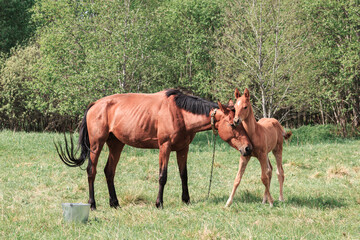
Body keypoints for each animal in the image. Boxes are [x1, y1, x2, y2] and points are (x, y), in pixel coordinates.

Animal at [56, 89, 253, 209]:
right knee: (92, 171)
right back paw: (92, 204)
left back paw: (115, 203)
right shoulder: (164, 147)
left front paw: (186, 200)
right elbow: (162, 176)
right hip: (96, 145)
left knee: (109, 171)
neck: (180, 113)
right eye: (233, 124)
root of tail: (95, 104)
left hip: (116, 144)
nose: (248, 148)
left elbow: (184, 175)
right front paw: (159, 203)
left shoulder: (183, 149)